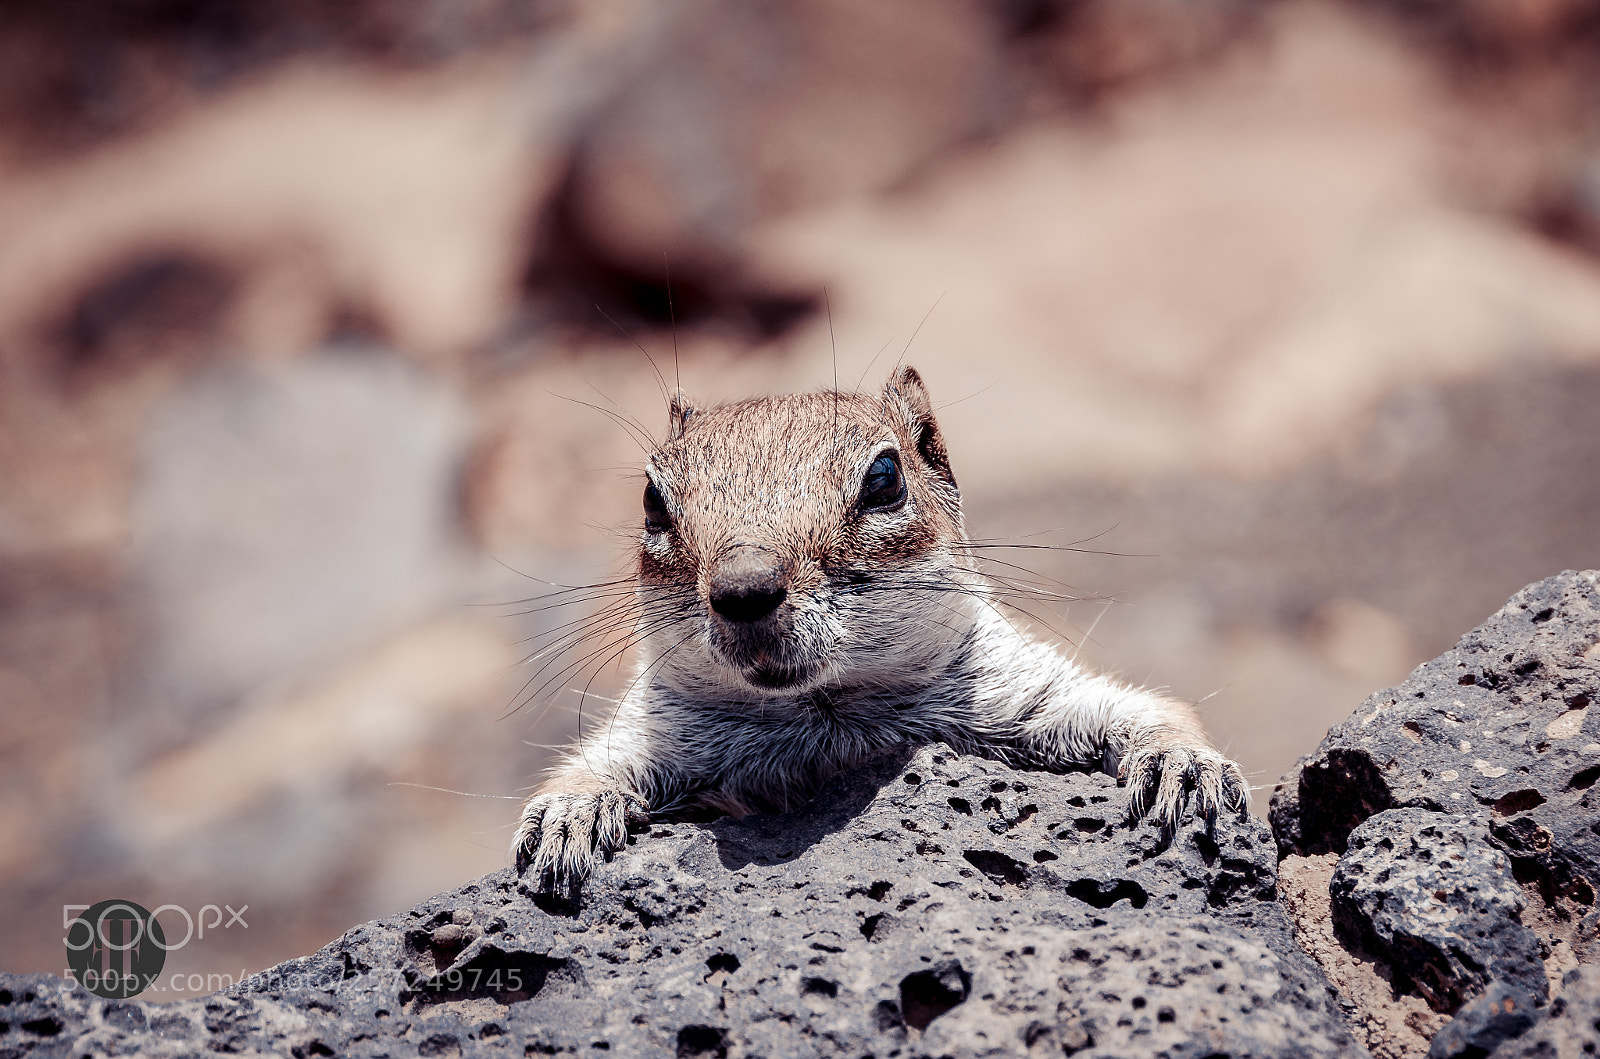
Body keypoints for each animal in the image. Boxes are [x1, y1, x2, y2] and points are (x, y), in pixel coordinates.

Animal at [512, 366, 1247, 895]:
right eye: (651, 501)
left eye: (885, 477)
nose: (743, 588)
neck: (829, 719)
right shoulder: (658, 728)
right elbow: (596, 762)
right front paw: (569, 813)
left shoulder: (1025, 691)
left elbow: (1136, 708)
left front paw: (1180, 762)